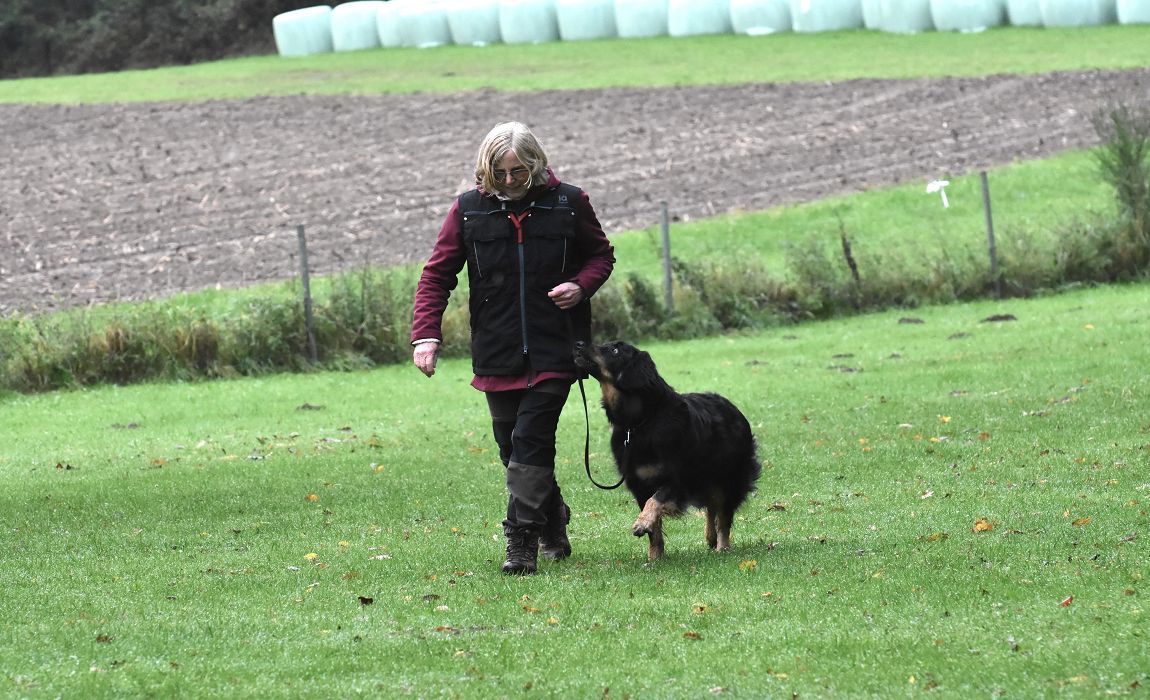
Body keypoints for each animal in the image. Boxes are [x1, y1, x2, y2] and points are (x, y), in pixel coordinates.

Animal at [570, 340, 759, 558]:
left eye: (615, 350)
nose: (577, 344)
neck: (641, 421)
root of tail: (735, 409)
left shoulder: (678, 481)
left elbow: (655, 501)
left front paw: (641, 523)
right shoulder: (639, 484)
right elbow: (655, 528)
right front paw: (654, 557)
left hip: (729, 477)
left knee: (723, 515)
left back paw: (722, 547)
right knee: (712, 506)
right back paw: (710, 537)